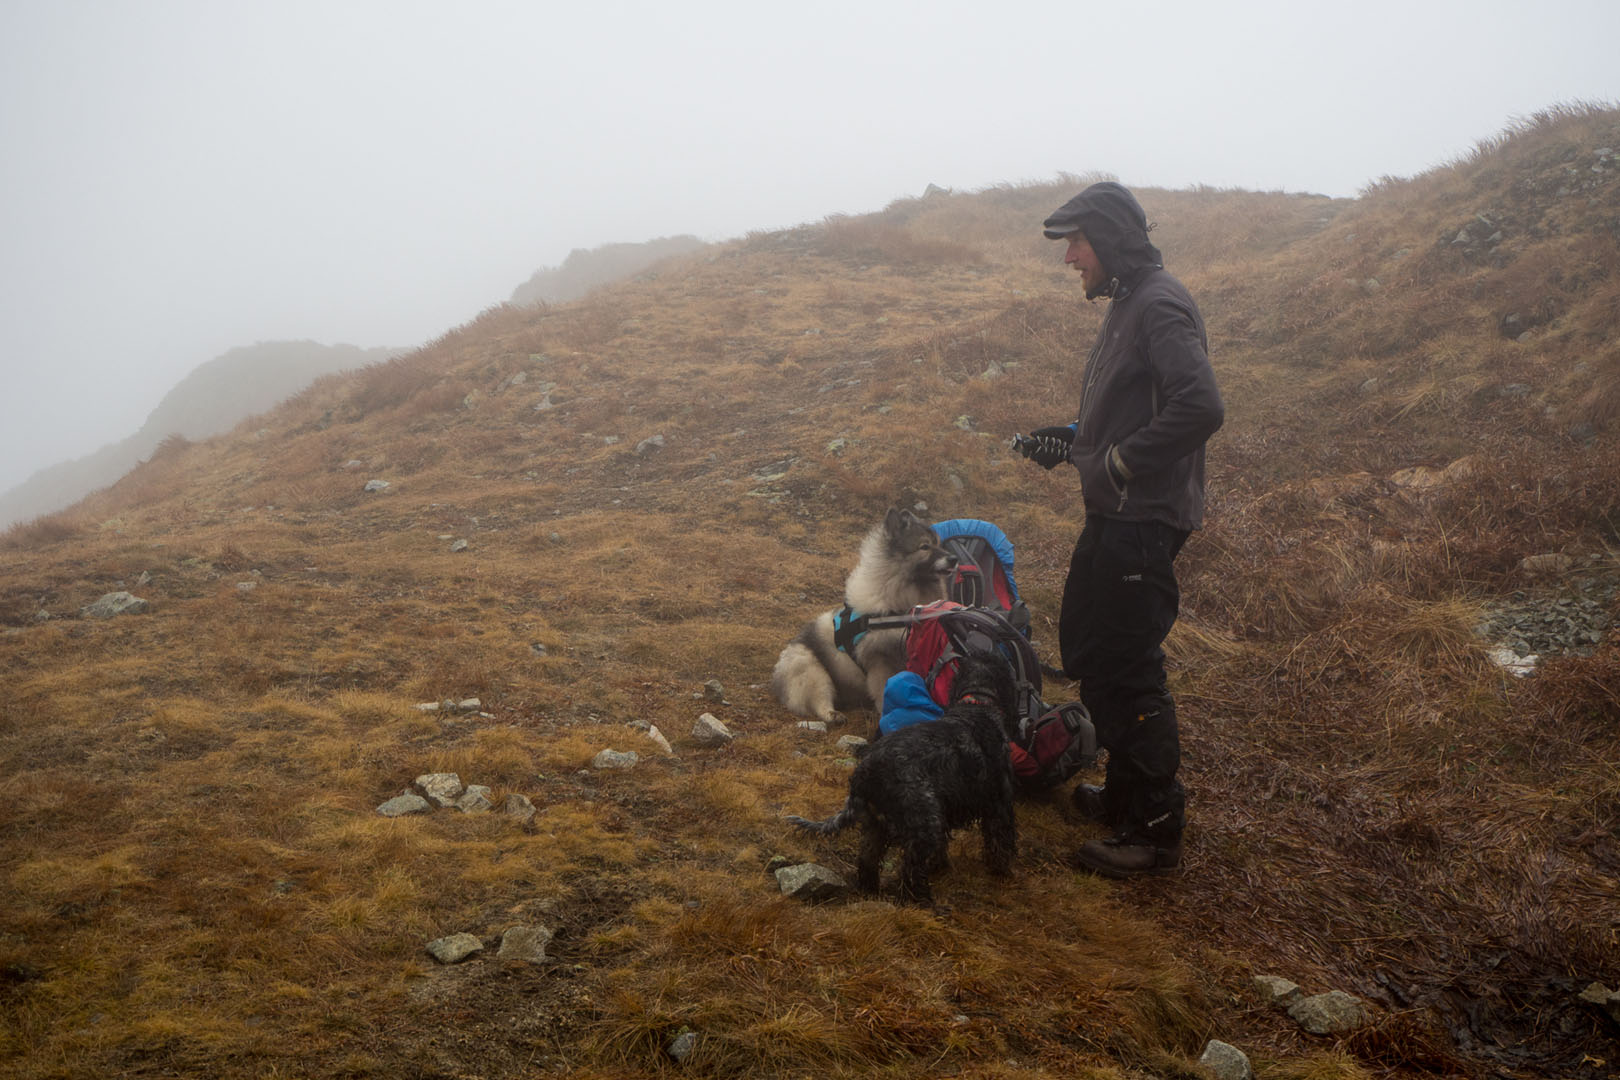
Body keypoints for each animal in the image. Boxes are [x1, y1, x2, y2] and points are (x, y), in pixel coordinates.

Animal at [767, 508, 952, 725]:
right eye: (925, 546)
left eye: (938, 544)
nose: (955, 559)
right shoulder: (880, 661)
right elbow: (883, 691)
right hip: (810, 669)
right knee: (820, 699)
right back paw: (833, 715)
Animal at [780, 654, 1010, 906]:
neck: (977, 704)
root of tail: (865, 773)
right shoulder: (998, 802)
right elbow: (1000, 841)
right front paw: (1001, 871)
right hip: (924, 823)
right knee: (910, 869)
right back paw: (925, 903)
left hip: (876, 825)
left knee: (868, 860)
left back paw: (871, 890)